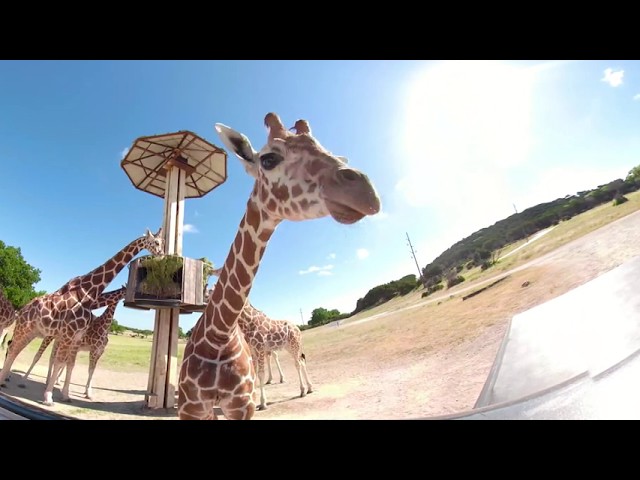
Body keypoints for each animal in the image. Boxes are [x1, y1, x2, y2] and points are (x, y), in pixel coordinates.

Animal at [0, 228, 164, 406]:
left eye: (163, 242)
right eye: (156, 242)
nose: (162, 254)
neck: (89, 294)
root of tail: (22, 309)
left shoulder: (76, 337)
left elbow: (69, 364)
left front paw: (65, 395)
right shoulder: (69, 334)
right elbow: (61, 362)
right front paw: (49, 397)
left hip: (34, 332)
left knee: (15, 350)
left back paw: (6, 379)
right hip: (26, 329)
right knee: (15, 349)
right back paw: (9, 380)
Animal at [209, 267, 311, 410]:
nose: (211, 270)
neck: (248, 322)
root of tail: (298, 329)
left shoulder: (260, 348)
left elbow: (261, 374)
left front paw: (263, 403)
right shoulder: (253, 350)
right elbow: (255, 373)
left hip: (294, 345)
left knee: (297, 363)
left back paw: (302, 390)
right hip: (290, 347)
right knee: (301, 362)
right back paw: (309, 388)